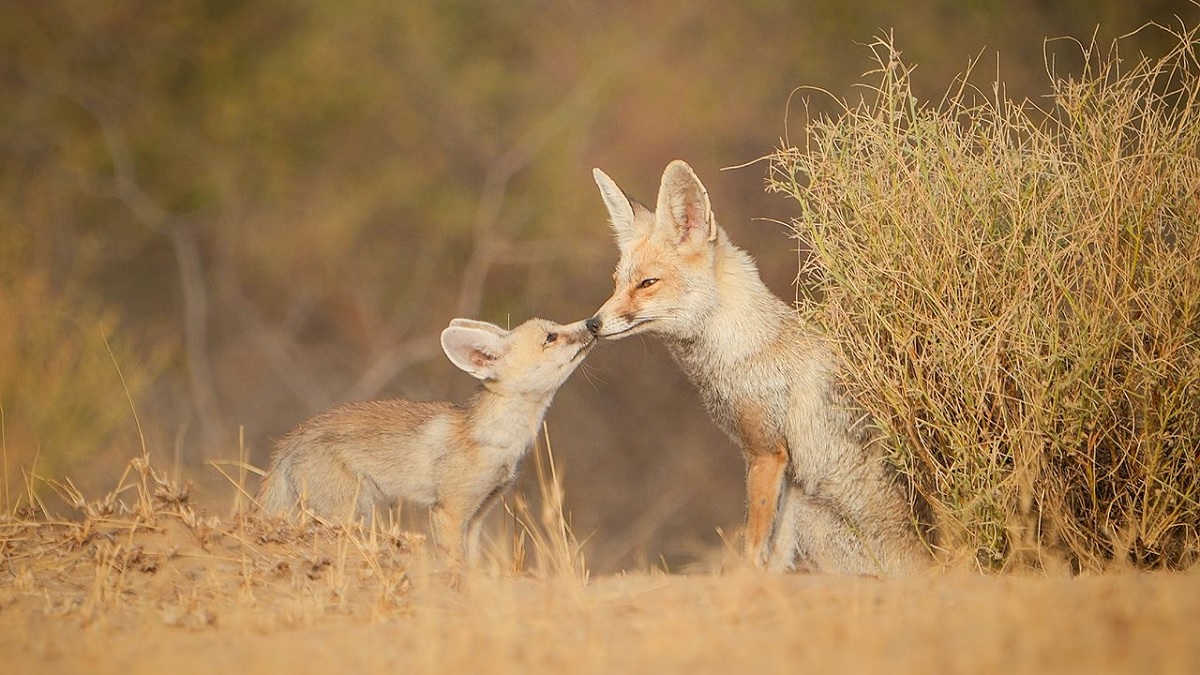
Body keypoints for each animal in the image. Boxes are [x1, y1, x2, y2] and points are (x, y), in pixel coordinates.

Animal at [585, 159, 931, 576]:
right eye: (616, 283)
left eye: (647, 283)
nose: (592, 324)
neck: (743, 350)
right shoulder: (785, 471)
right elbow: (776, 550)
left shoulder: (766, 451)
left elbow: (754, 541)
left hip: (815, 518)